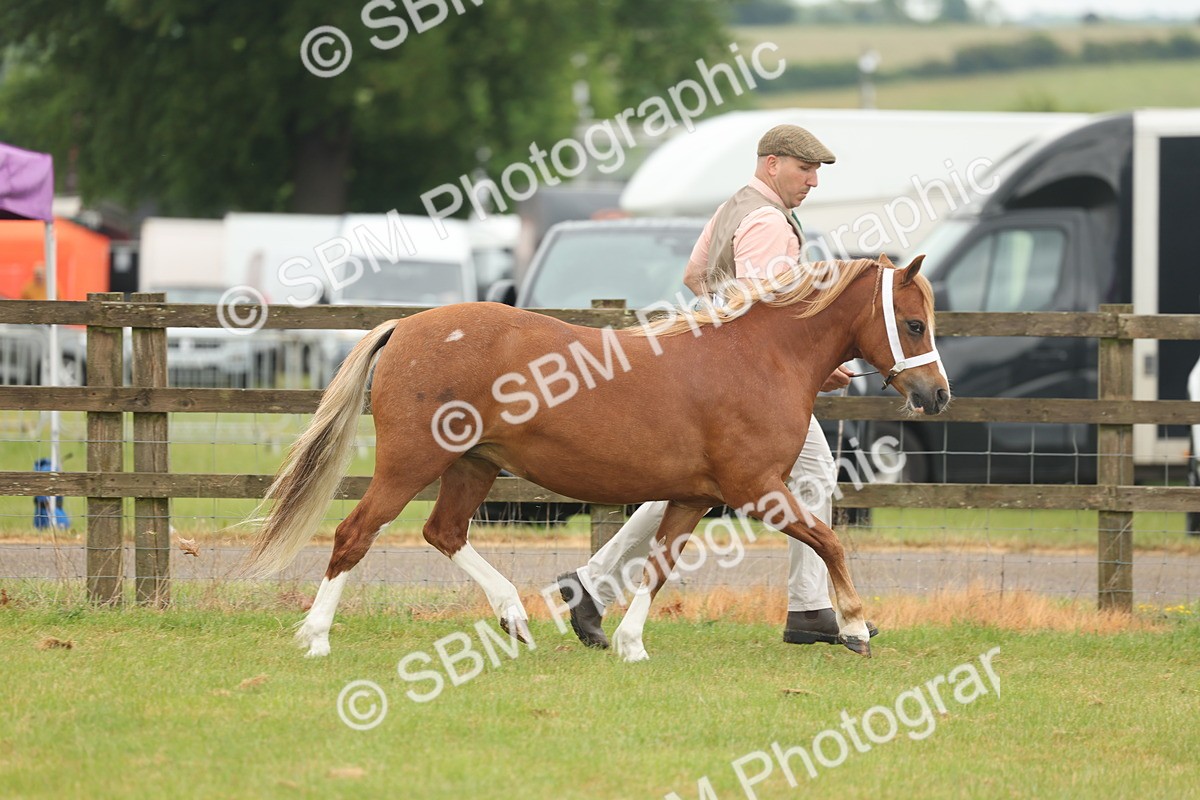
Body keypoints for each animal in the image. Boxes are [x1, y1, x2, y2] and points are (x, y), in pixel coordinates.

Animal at [242, 254, 950, 661]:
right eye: (915, 324)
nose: (937, 394)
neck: (757, 358)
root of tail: (404, 327)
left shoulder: (692, 496)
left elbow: (658, 566)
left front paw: (629, 644)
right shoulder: (757, 489)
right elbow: (829, 541)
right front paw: (854, 627)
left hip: (474, 464)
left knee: (443, 532)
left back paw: (516, 618)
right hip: (410, 465)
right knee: (354, 535)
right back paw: (316, 637)